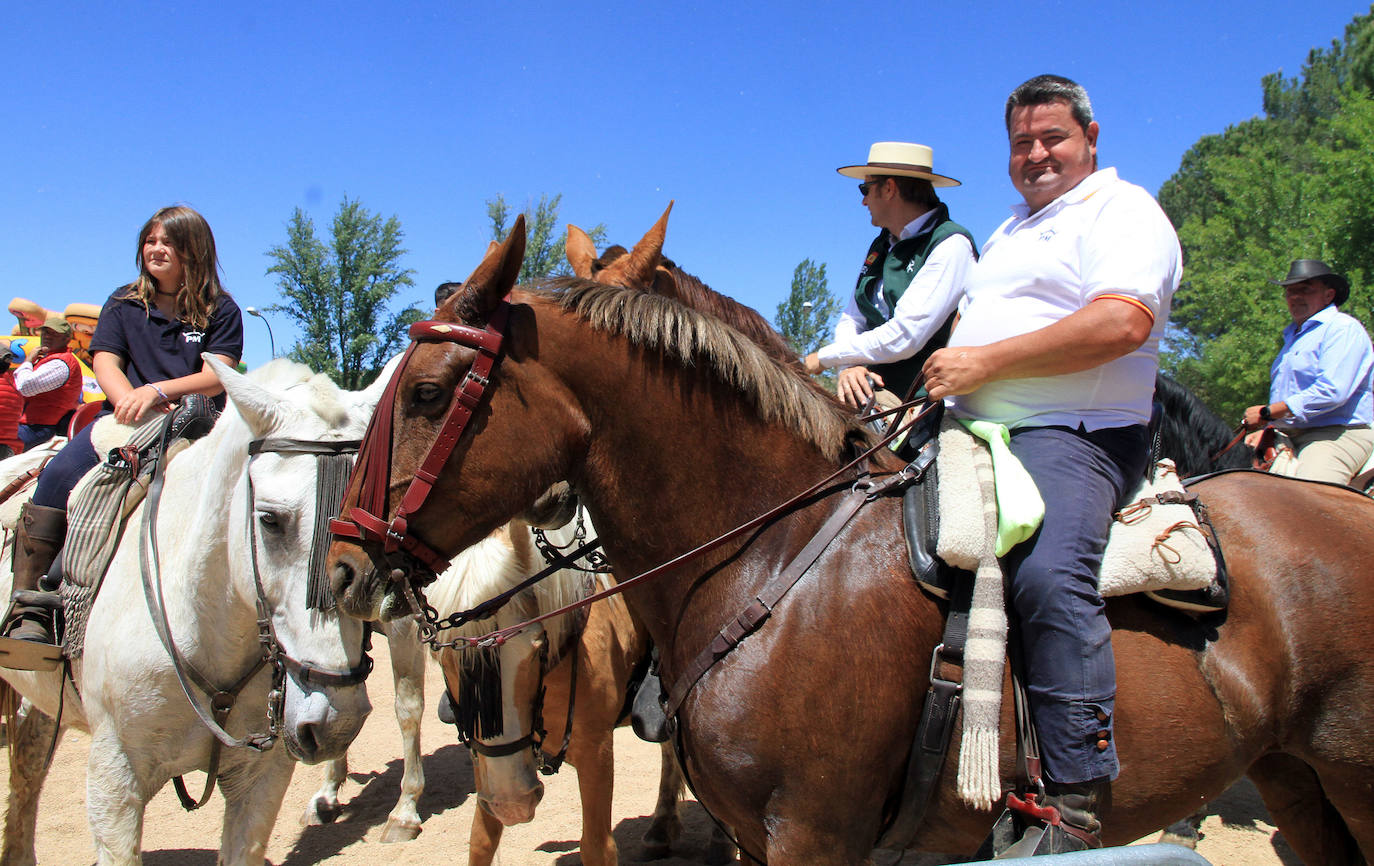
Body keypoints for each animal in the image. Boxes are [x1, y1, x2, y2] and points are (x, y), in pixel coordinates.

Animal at [327, 225, 1374, 866]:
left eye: (428, 391)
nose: (341, 565)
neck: (772, 555)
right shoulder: (763, 838)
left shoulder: (811, 836)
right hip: (1297, 779)